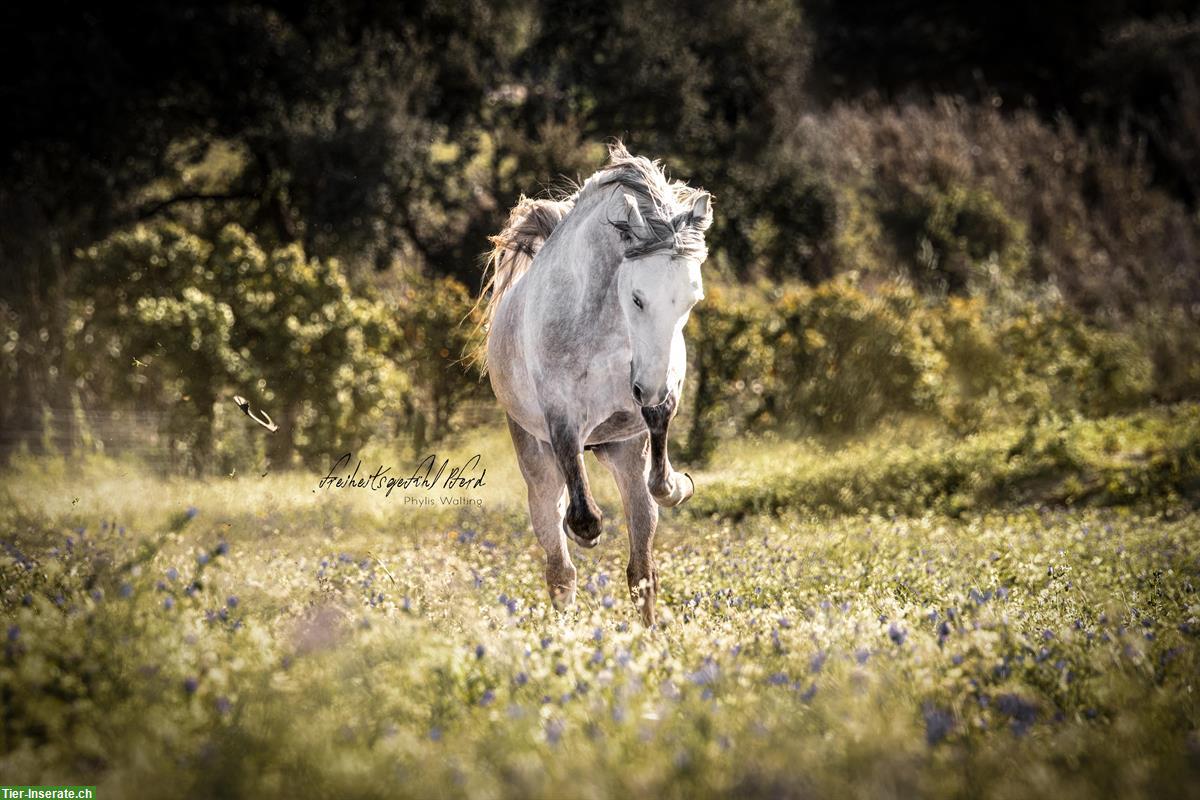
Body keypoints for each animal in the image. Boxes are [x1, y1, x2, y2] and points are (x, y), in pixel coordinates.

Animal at [475, 143, 705, 623]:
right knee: (560, 569)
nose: (650, 389)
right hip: (535, 461)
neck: (605, 320)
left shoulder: (643, 415)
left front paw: (680, 484)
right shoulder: (561, 417)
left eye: (692, 300)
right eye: (637, 297)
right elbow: (582, 516)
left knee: (641, 568)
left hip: (621, 455)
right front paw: (586, 530)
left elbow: (660, 466)